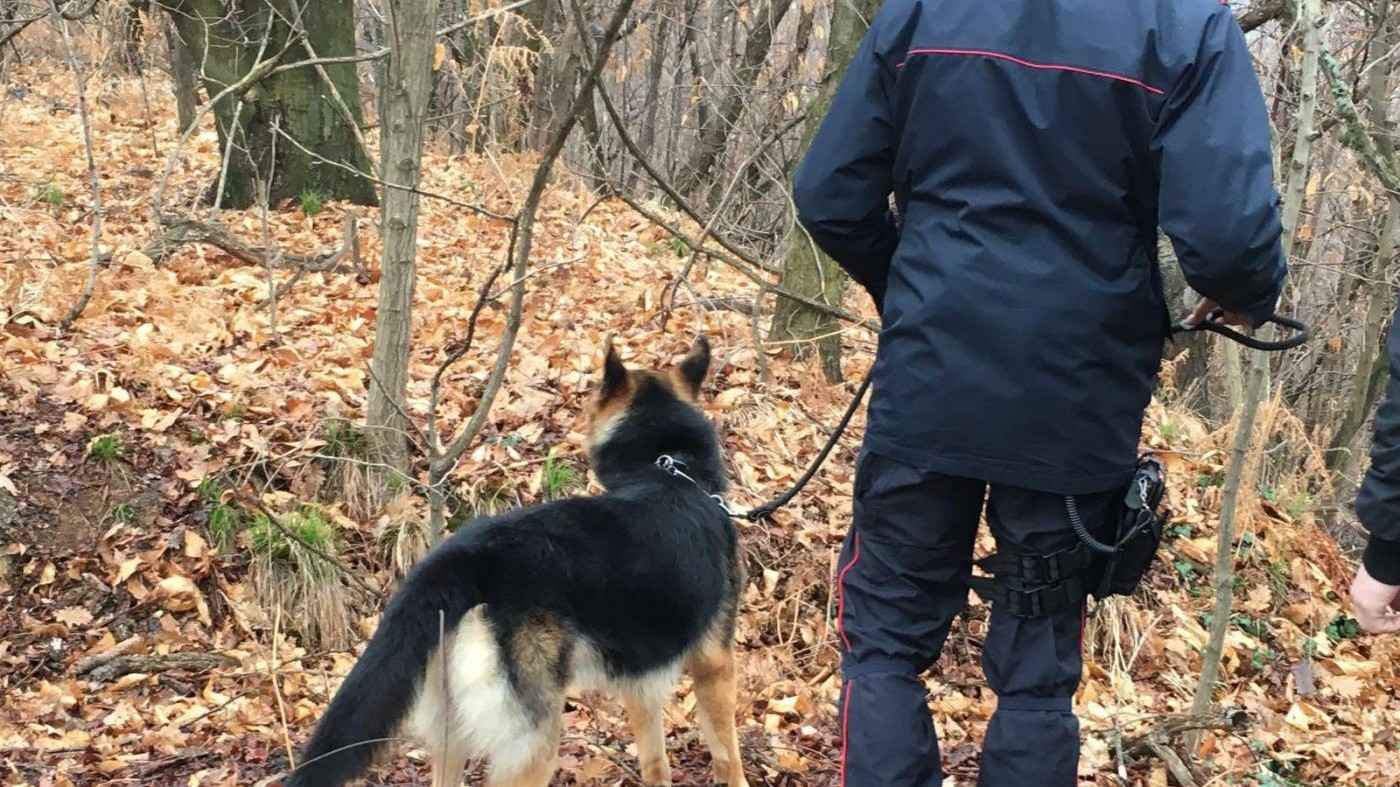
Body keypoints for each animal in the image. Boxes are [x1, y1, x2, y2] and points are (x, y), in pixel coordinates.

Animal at [281, 333, 744, 778]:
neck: (669, 471)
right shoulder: (714, 665)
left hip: (452, 733)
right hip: (534, 742)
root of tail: (463, 559)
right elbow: (728, 758)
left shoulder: (641, 682)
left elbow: (655, 764)